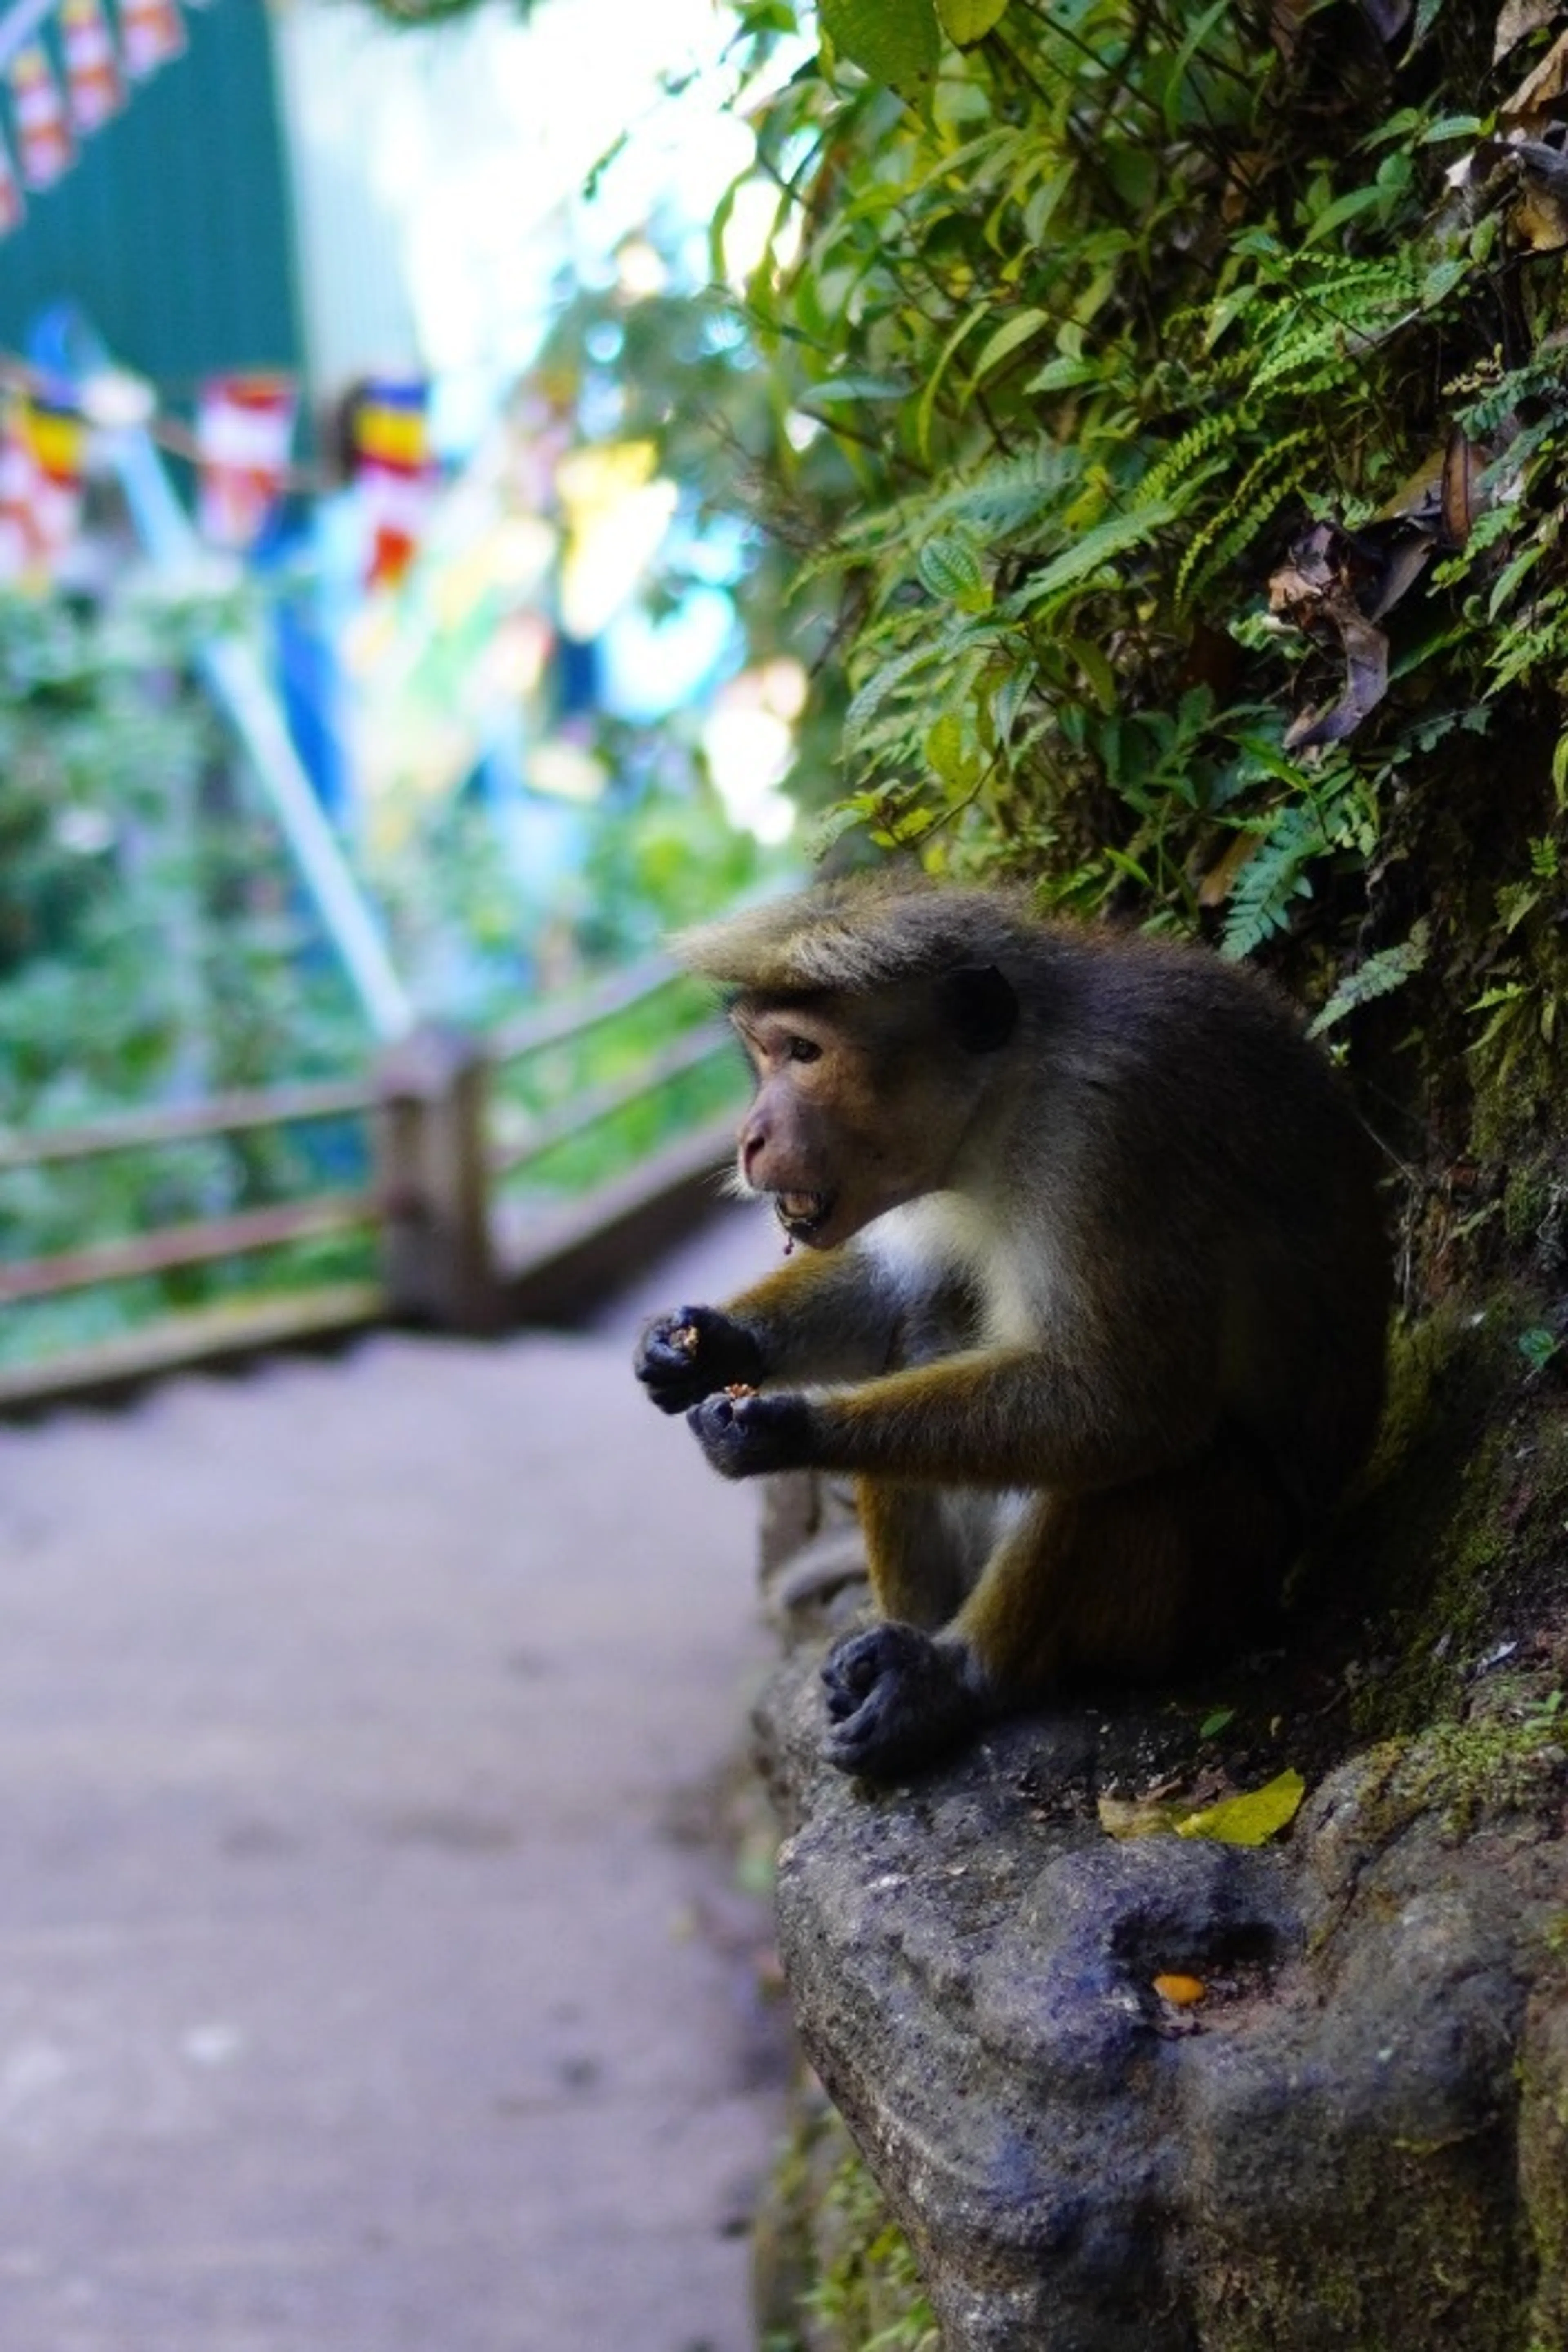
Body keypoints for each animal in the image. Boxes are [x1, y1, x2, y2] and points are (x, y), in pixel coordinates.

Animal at [634, 875, 1390, 1781]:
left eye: (805, 1054)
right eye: (764, 1056)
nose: (751, 1139)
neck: (1007, 1101)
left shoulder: (1109, 1136)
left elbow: (1122, 1402)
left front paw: (784, 1429)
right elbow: (894, 1286)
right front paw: (707, 1344)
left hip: (1214, 1584)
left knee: (1161, 1454)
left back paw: (953, 1679)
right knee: (929, 1326)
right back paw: (900, 1641)